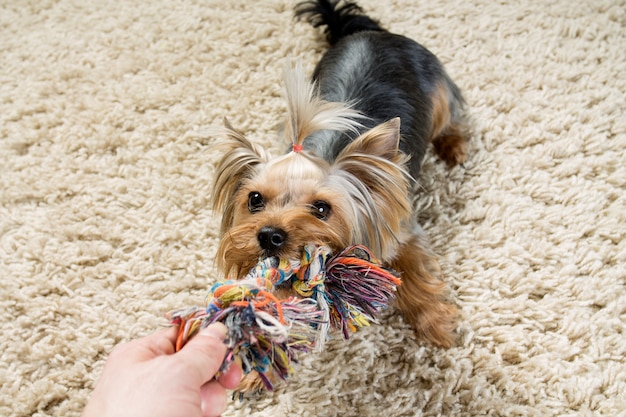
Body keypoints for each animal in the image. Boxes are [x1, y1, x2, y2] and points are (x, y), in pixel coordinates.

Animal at [212, 0, 466, 380]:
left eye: (321, 208)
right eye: (254, 200)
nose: (269, 235)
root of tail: (364, 32)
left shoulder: (401, 231)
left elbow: (416, 275)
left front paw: (437, 326)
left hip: (438, 93)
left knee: (452, 116)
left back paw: (455, 145)